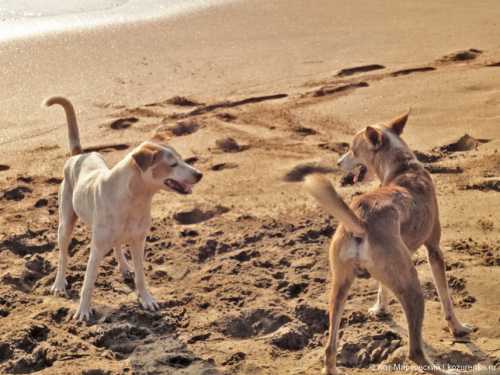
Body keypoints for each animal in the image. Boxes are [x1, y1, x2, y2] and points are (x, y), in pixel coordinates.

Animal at [45, 97, 203, 324]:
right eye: (173, 164)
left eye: (182, 160)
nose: (199, 174)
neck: (136, 198)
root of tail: (79, 155)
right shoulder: (96, 248)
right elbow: (88, 283)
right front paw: (83, 311)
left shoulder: (138, 241)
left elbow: (141, 276)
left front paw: (146, 299)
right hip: (65, 223)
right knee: (63, 254)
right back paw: (59, 284)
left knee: (118, 244)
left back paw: (124, 267)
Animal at [304, 112, 472, 375]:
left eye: (352, 149)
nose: (339, 163)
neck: (403, 166)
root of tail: (361, 219)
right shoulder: (434, 250)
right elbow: (446, 298)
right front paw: (457, 328)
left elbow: (382, 288)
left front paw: (379, 309)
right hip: (413, 289)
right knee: (415, 352)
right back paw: (443, 369)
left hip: (339, 287)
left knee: (329, 348)